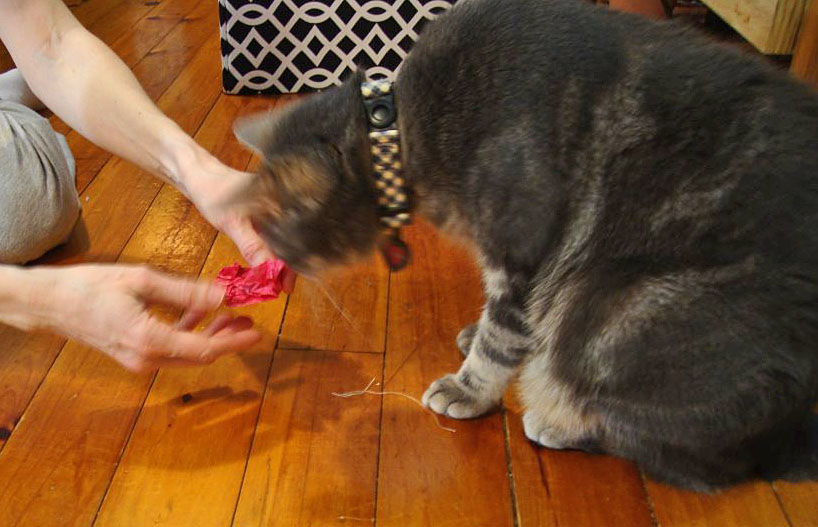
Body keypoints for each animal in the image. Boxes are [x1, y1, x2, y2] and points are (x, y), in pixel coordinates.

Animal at [230, 0, 818, 491]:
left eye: (273, 229)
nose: (272, 258)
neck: (398, 127)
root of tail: (794, 434)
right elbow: (505, 324)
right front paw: (475, 336)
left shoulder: (523, 255)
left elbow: (501, 336)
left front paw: (468, 388)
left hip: (616, 305)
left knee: (695, 460)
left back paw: (558, 422)